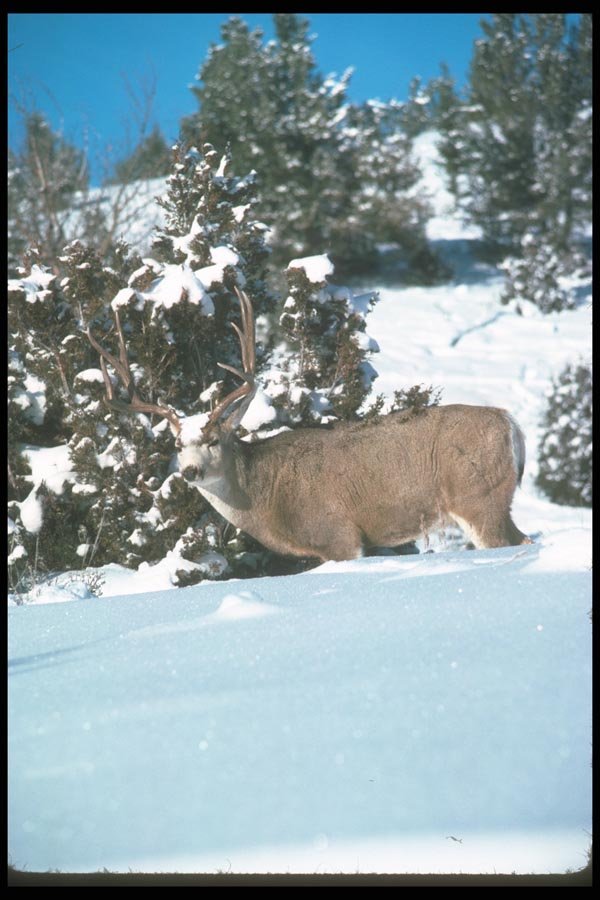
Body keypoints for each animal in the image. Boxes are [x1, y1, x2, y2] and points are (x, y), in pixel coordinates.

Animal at [87, 287, 532, 562]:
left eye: (213, 439)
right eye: (178, 446)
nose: (191, 471)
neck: (266, 499)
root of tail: (511, 424)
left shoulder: (339, 534)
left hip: (477, 496)